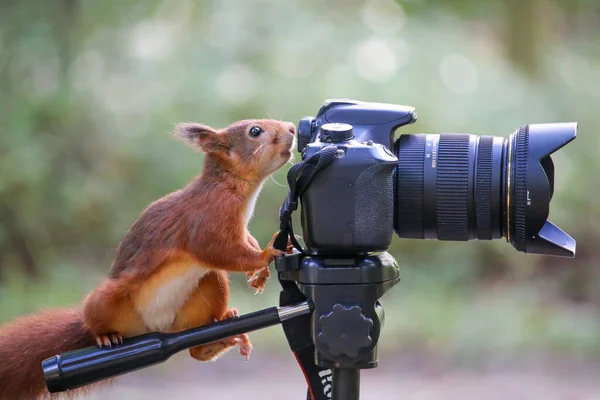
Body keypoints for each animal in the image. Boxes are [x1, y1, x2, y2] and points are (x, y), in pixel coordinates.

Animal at [0, 119, 296, 400]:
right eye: (255, 131)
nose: (293, 128)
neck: (231, 185)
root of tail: (155, 326)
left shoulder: (238, 228)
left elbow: (246, 240)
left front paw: (260, 270)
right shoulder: (206, 220)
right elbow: (220, 251)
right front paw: (266, 255)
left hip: (206, 289)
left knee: (196, 349)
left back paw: (222, 331)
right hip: (109, 300)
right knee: (95, 318)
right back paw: (105, 336)